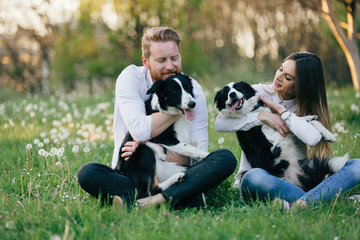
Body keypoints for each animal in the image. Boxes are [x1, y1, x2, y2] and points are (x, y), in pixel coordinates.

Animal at [214, 81, 348, 191]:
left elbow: (302, 120)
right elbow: (287, 122)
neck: (250, 111)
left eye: (238, 88)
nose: (232, 94)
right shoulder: (275, 138)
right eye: (225, 93)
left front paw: (327, 133)